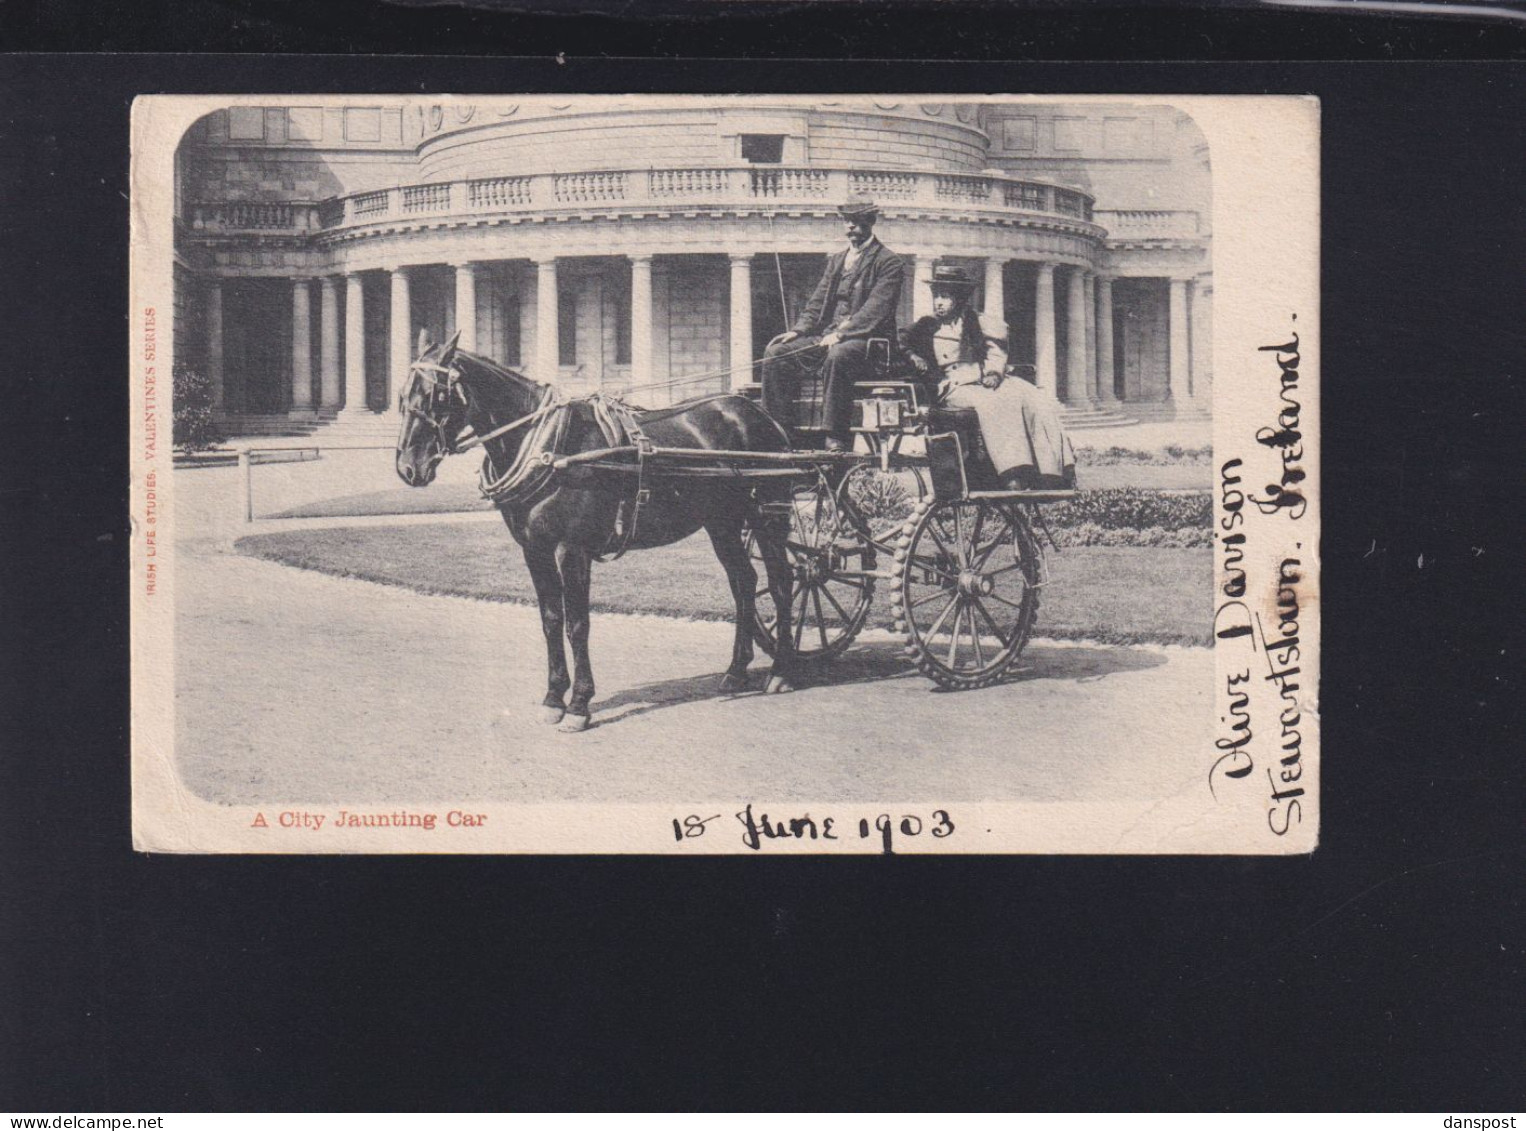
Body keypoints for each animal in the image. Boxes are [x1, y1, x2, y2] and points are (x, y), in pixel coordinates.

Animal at [393, 326, 805, 732]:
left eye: (436, 394)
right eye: (402, 395)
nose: (409, 467)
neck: (550, 447)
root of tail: (755, 411)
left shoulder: (572, 549)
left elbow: (577, 623)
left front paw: (579, 704)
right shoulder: (535, 550)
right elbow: (551, 620)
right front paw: (553, 698)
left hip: (767, 515)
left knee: (782, 581)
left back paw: (783, 670)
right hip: (722, 522)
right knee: (744, 582)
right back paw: (736, 670)